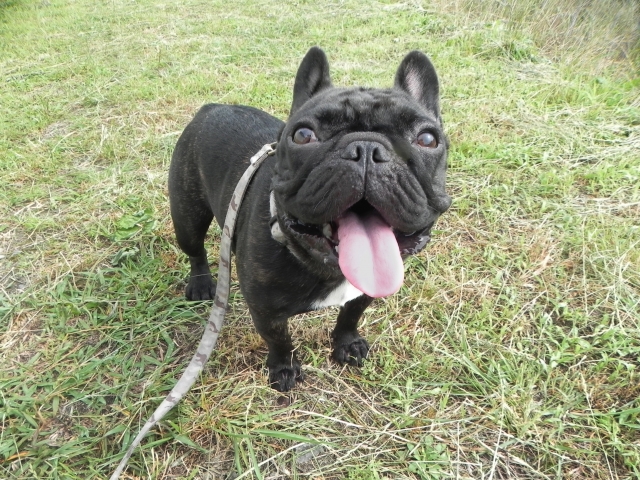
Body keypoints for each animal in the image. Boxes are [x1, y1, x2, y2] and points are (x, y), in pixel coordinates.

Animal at [169, 46, 450, 390]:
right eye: (303, 135)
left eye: (427, 139)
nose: (366, 147)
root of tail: (212, 107)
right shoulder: (266, 311)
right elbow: (279, 340)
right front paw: (284, 369)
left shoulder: (364, 292)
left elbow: (350, 316)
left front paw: (347, 344)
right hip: (187, 216)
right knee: (195, 249)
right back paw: (201, 285)